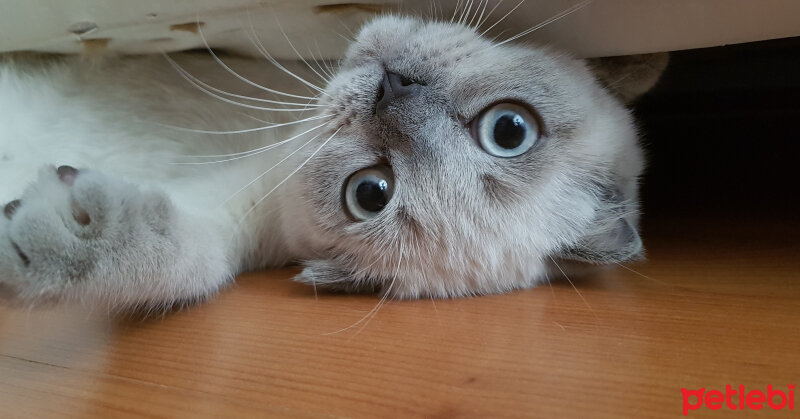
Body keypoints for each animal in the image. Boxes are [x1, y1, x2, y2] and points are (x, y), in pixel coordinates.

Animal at [0, 14, 664, 310]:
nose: (392, 89)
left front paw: (67, 234)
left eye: (370, 192)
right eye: (509, 130)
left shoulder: (233, 215)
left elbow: (193, 263)